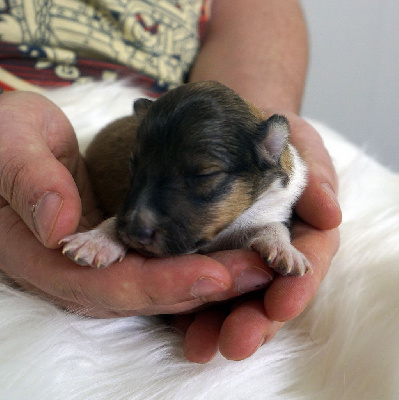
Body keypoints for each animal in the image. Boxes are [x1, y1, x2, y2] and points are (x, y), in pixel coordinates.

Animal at [61, 80, 312, 276]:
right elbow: (115, 219)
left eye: (205, 174)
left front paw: (286, 251)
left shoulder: (269, 207)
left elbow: (274, 226)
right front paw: (96, 241)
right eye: (134, 165)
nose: (134, 232)